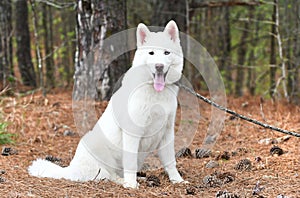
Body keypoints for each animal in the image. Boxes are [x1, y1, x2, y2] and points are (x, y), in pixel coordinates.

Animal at [29, 20, 185, 189]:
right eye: (151, 53)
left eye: (166, 53)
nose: (159, 66)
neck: (156, 94)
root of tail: (70, 170)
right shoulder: (132, 133)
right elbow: (130, 163)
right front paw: (131, 185)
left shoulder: (167, 133)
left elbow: (170, 162)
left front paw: (177, 181)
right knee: (108, 176)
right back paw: (125, 181)